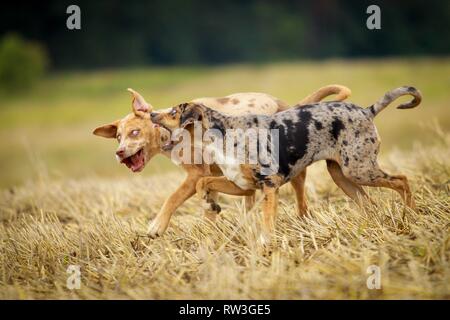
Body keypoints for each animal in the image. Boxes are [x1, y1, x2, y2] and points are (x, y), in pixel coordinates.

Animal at [95, 86, 362, 236]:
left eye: (135, 132)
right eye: (118, 137)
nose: (119, 152)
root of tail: (286, 105)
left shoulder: (196, 174)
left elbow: (172, 198)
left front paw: (156, 227)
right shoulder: (212, 175)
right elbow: (208, 201)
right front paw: (209, 228)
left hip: (293, 174)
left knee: (301, 203)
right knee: (251, 199)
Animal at [152, 86, 422, 241]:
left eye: (174, 112)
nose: (152, 113)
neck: (223, 135)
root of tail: (367, 111)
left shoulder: (269, 184)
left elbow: (267, 220)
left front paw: (266, 245)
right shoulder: (242, 185)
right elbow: (204, 183)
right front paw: (211, 204)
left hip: (359, 170)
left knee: (402, 180)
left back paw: (410, 215)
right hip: (342, 175)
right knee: (369, 203)